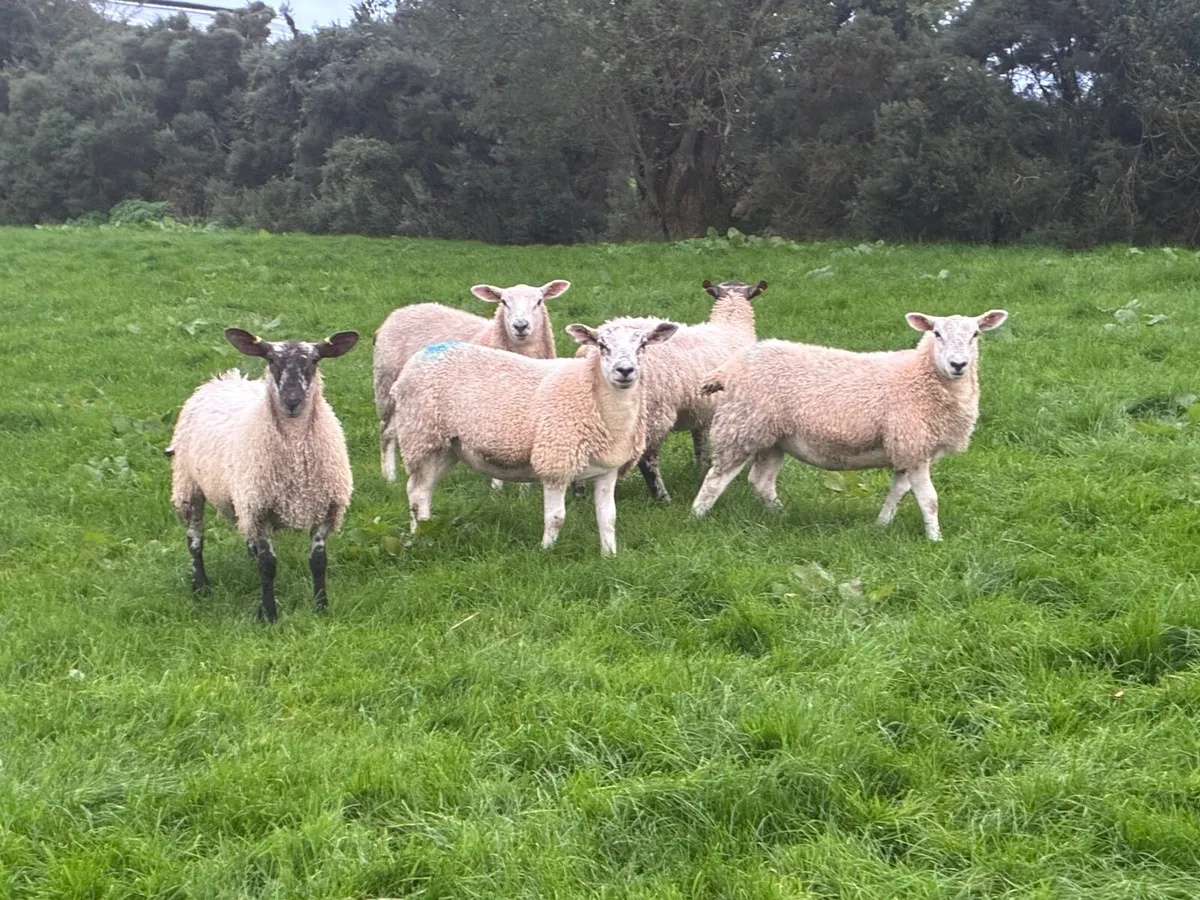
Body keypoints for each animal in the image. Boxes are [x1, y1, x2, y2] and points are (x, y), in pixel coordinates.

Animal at [166, 328, 359, 621]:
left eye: (315, 361)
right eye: (270, 359)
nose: (292, 401)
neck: (295, 450)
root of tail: (224, 378)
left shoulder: (326, 508)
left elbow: (318, 562)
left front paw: (321, 606)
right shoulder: (259, 510)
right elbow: (268, 566)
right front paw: (269, 614)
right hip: (189, 485)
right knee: (194, 538)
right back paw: (201, 585)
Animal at [373, 280, 571, 482]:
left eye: (539, 301)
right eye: (503, 302)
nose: (520, 326)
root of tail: (401, 311)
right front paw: (498, 484)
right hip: (386, 385)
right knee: (386, 433)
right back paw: (389, 477)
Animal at [388, 318, 679, 555]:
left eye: (643, 345)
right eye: (601, 345)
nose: (625, 370)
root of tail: (421, 355)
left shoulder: (607, 470)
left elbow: (608, 518)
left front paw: (610, 556)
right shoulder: (555, 463)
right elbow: (556, 518)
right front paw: (546, 551)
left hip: (448, 446)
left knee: (423, 490)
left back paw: (425, 529)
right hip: (421, 435)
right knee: (416, 492)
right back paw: (418, 535)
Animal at [576, 279, 767, 503]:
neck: (731, 325)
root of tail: (589, 351)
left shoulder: (700, 411)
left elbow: (700, 443)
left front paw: (700, 469)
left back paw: (578, 493)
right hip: (654, 411)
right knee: (647, 458)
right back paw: (663, 498)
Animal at [691, 310, 1008, 540]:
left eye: (976, 334)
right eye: (937, 333)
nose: (959, 365)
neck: (919, 375)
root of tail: (730, 368)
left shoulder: (908, 448)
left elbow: (898, 492)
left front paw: (881, 524)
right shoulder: (913, 444)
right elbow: (929, 499)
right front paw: (935, 539)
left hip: (773, 437)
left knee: (761, 482)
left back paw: (781, 516)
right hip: (741, 425)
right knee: (716, 478)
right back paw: (696, 518)